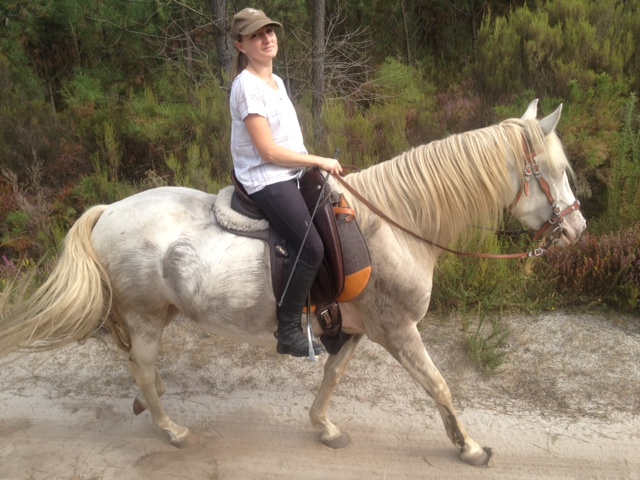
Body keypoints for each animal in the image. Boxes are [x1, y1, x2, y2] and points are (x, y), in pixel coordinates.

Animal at [0, 100, 586, 467]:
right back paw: (172, 428)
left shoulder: (356, 327)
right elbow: (439, 384)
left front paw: (324, 427)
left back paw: (154, 405)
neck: (396, 224)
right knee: (141, 367)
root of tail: (107, 211)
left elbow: (332, 375)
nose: (577, 229)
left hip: (156, 314)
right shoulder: (398, 329)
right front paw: (470, 447)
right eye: (557, 170)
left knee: (138, 368)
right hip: (144, 316)